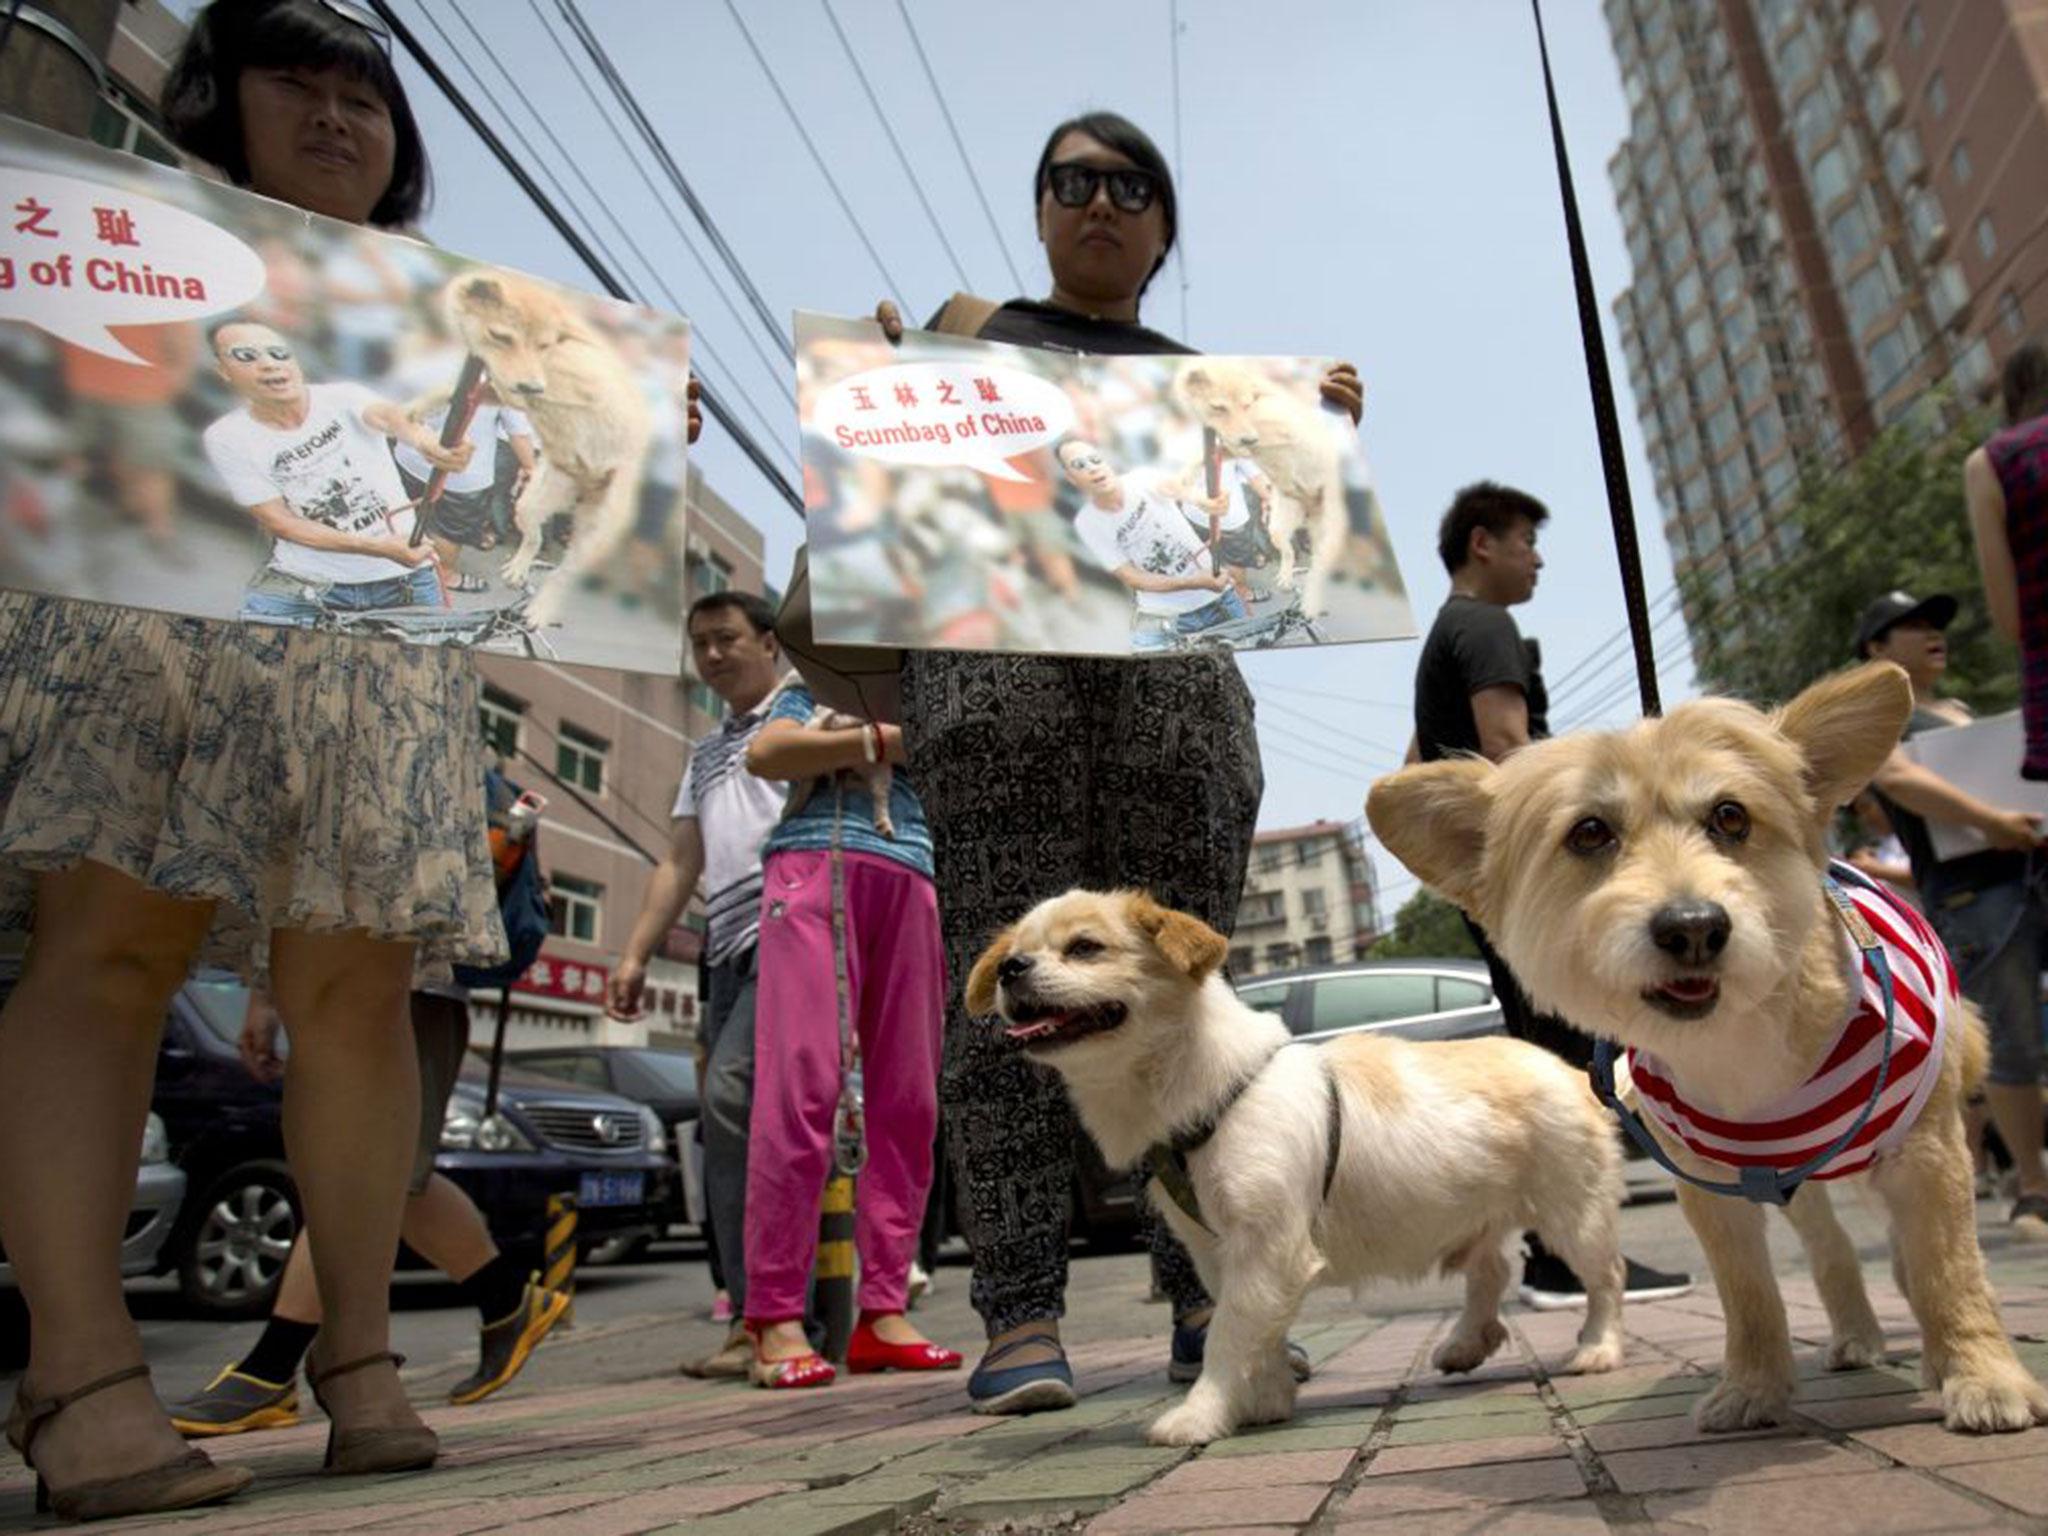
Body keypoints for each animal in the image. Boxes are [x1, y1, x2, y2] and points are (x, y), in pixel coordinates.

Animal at [966, 897, 1622, 1449]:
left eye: (1085, 947)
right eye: (1013, 949)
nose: (1011, 968)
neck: (1204, 1091)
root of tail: (1571, 1072)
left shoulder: (1267, 1244)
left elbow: (1229, 1333)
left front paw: (1202, 1413)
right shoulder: (1215, 1249)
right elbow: (1257, 1328)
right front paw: (1267, 1398)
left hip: (1574, 1211)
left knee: (1604, 1278)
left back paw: (1598, 1348)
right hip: (1475, 1214)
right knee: (1492, 1270)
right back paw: (1466, 1342)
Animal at [1359, 667, 2048, 1441]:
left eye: (1730, 817)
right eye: (1589, 832)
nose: (1693, 927)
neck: (1742, 1049)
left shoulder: (1926, 1153)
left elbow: (1948, 1270)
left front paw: (1981, 1373)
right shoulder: (1714, 1186)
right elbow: (1748, 1296)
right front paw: (1752, 1386)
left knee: (1908, 1252)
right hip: (1797, 1184)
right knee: (1833, 1251)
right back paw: (1855, 1335)